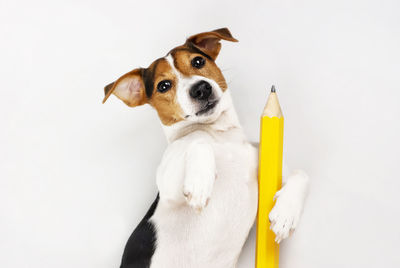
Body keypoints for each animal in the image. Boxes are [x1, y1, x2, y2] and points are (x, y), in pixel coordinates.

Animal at [103, 27, 310, 268]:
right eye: (163, 86)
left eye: (198, 61)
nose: (201, 88)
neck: (221, 137)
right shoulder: (168, 188)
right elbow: (198, 141)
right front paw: (200, 183)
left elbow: (302, 174)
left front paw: (286, 214)